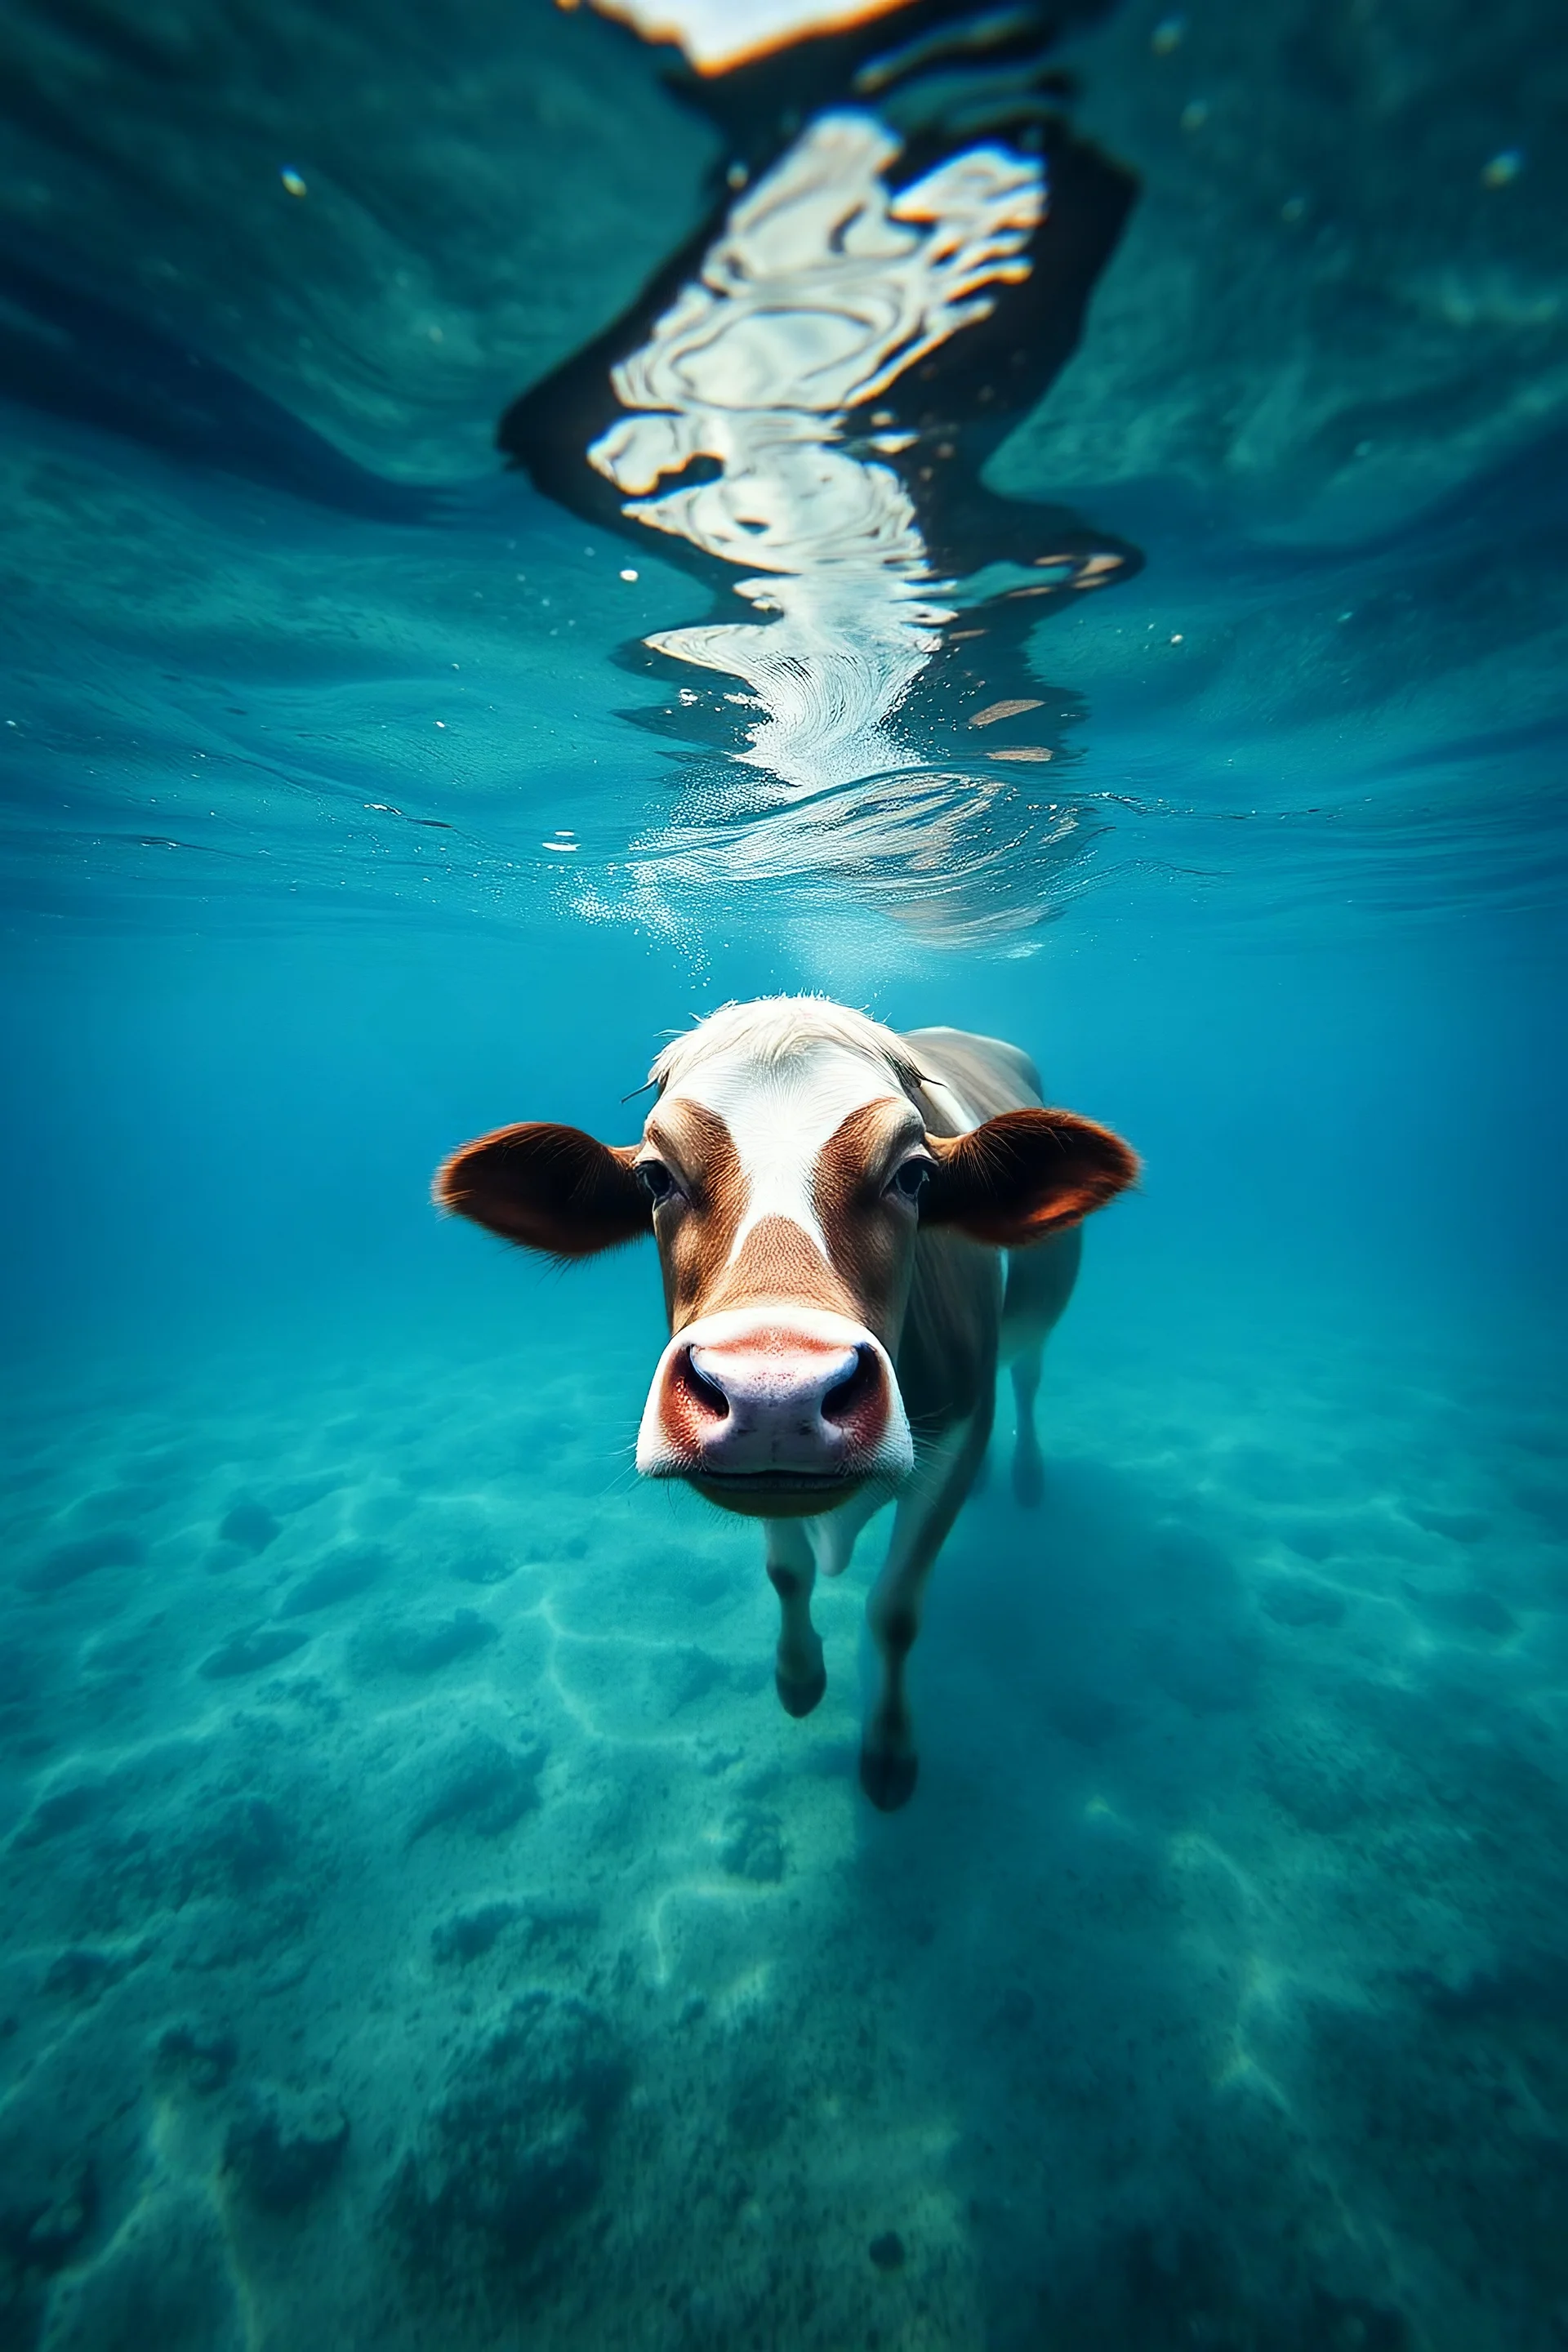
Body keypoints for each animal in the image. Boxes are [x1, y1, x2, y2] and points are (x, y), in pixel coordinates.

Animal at [436, 997, 1137, 1808]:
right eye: (654, 1178)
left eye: (914, 1175)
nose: (774, 1395)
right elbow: (788, 1575)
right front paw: (799, 1679)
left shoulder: (959, 1436)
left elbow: (895, 1609)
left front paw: (889, 1755)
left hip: (1033, 1332)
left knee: (1027, 1378)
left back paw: (1024, 1478)